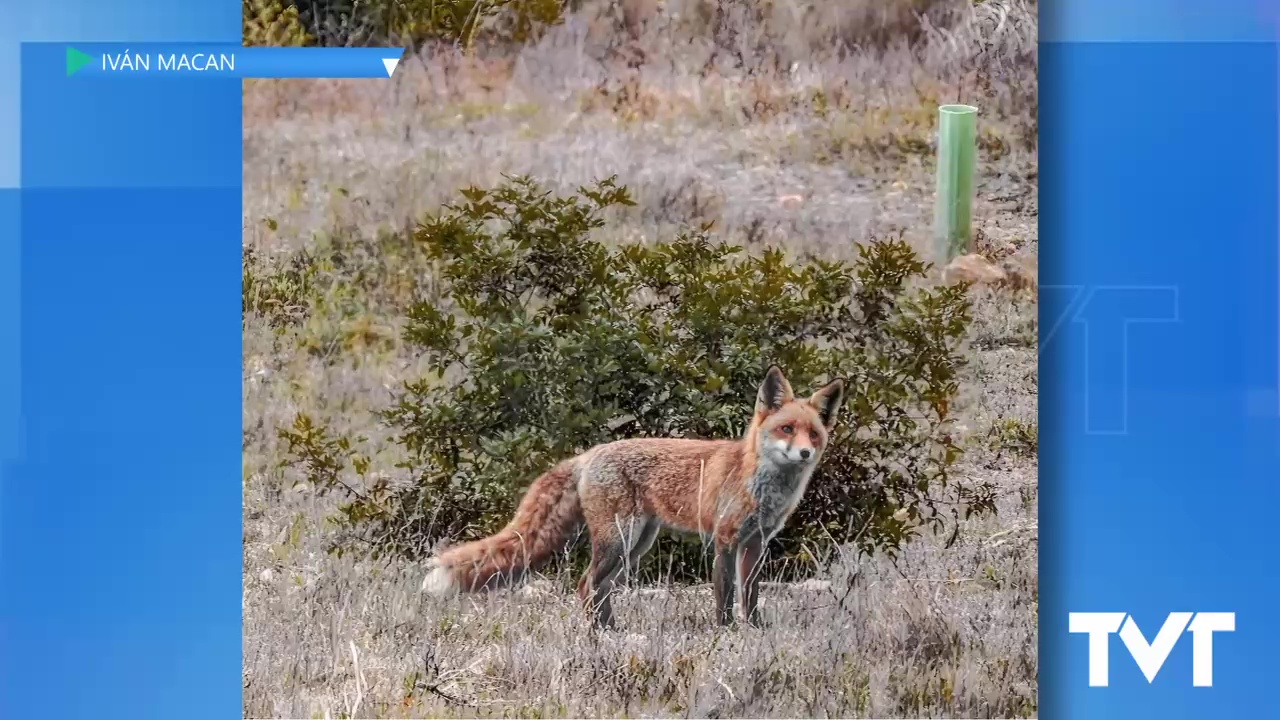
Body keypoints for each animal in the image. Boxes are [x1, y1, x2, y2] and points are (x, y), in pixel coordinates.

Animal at [419, 363, 844, 622]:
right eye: (786, 429)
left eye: (813, 434)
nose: (805, 453)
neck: (761, 485)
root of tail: (589, 454)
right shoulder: (723, 540)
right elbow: (724, 599)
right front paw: (725, 635)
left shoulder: (756, 542)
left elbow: (750, 598)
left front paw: (753, 631)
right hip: (619, 539)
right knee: (586, 586)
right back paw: (597, 637)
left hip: (635, 545)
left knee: (601, 589)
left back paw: (613, 634)